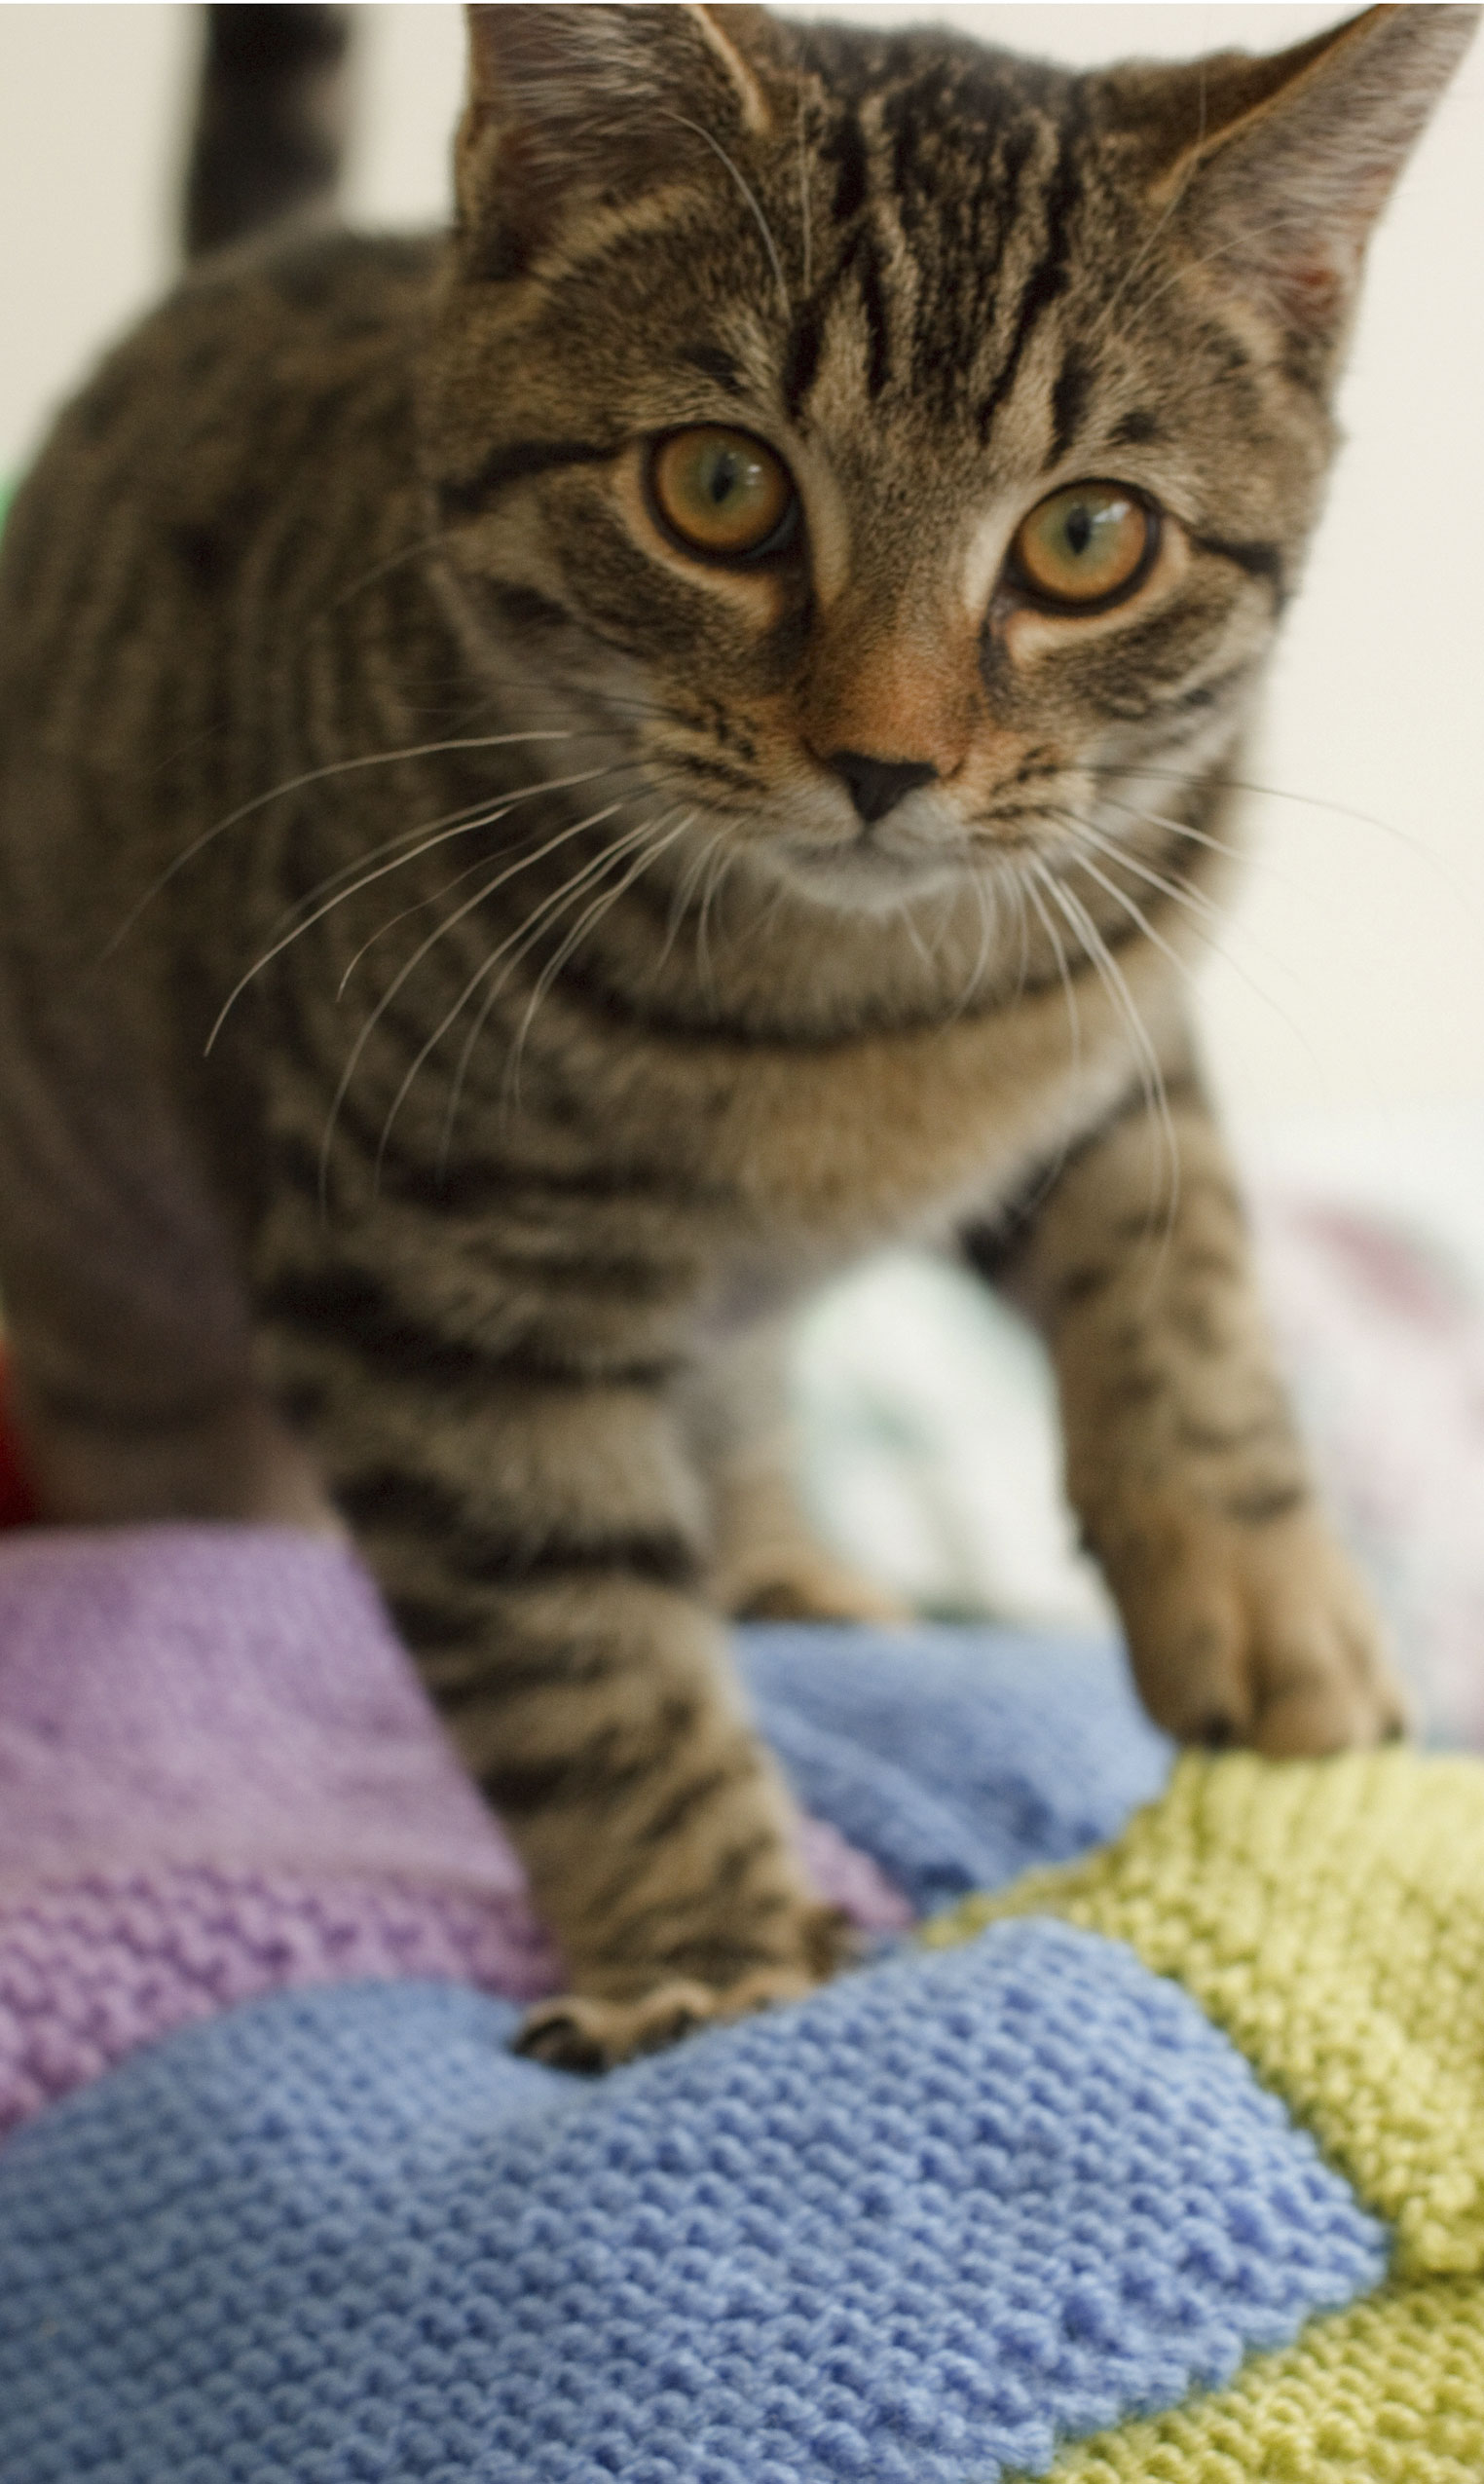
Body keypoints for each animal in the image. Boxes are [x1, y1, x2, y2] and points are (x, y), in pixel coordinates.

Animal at [0, 4, 1462, 2057]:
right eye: (717, 488)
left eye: (1087, 536)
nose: (883, 762)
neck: (848, 1013)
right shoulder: (428, 1283)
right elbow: (579, 1647)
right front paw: (708, 1945)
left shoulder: (1113, 1008)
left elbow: (1181, 1295)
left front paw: (1265, 1600)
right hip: (125, 1313)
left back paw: (784, 1562)